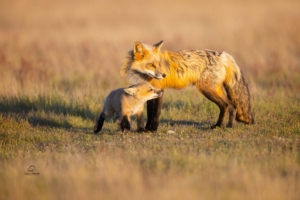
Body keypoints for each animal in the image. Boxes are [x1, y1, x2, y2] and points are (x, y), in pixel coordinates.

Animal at [120, 40, 254, 131]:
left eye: (159, 64)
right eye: (151, 65)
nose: (163, 75)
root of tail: (223, 55)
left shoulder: (159, 90)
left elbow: (155, 113)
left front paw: (153, 129)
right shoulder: (150, 91)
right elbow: (149, 113)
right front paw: (147, 129)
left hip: (207, 90)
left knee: (227, 105)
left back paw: (224, 126)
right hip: (215, 90)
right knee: (230, 106)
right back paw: (222, 126)